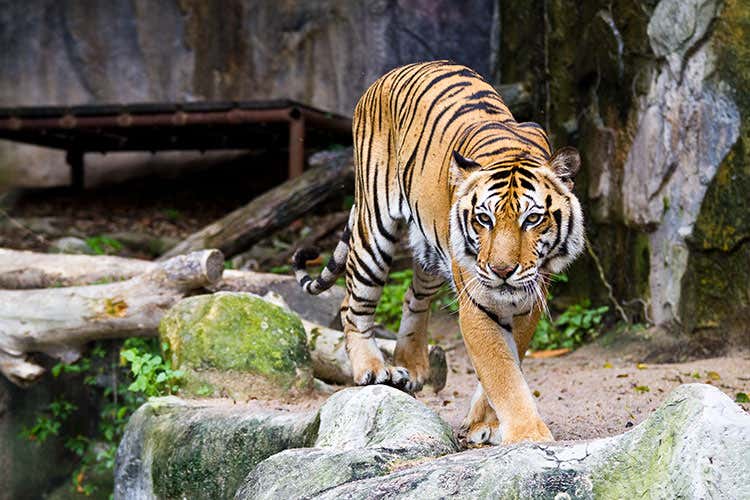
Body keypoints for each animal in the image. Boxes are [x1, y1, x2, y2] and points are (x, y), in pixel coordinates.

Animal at [293, 60, 584, 445]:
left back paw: (412, 367)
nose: (502, 271)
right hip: (374, 228)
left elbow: (510, 361)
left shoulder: (529, 300)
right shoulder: (477, 303)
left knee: (412, 298)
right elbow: (501, 372)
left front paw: (484, 423)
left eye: (532, 219)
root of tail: (392, 73)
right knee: (353, 305)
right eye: (484, 219)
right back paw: (373, 369)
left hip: (431, 251)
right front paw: (527, 435)